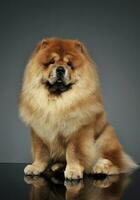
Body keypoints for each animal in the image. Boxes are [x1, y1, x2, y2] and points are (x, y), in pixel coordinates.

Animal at [19, 37, 137, 180]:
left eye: (69, 64)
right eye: (51, 62)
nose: (60, 69)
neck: (57, 102)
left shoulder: (78, 131)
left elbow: (73, 152)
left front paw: (73, 171)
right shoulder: (39, 131)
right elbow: (40, 152)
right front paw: (35, 167)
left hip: (106, 137)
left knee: (114, 162)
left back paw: (101, 168)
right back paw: (57, 167)